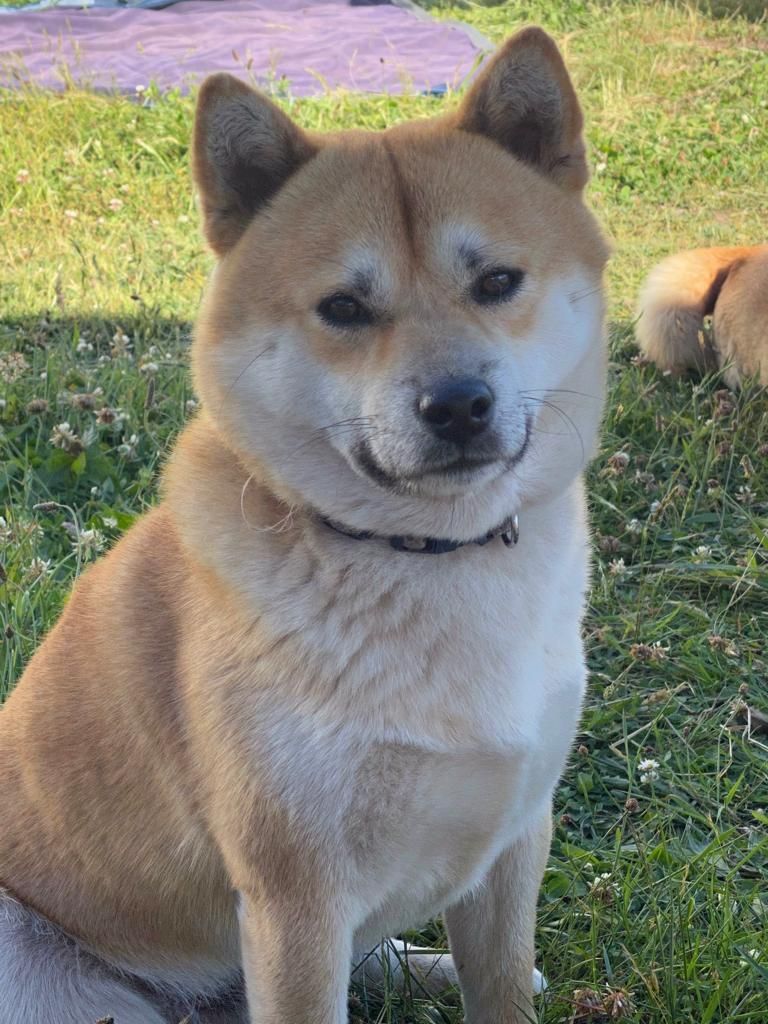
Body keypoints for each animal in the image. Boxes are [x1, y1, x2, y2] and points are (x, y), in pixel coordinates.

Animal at [0, 26, 608, 1024]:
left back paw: (420, 964)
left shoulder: (516, 839)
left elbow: (503, 983)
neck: (431, 557)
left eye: (497, 281)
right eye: (344, 308)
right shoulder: (297, 903)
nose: (458, 405)